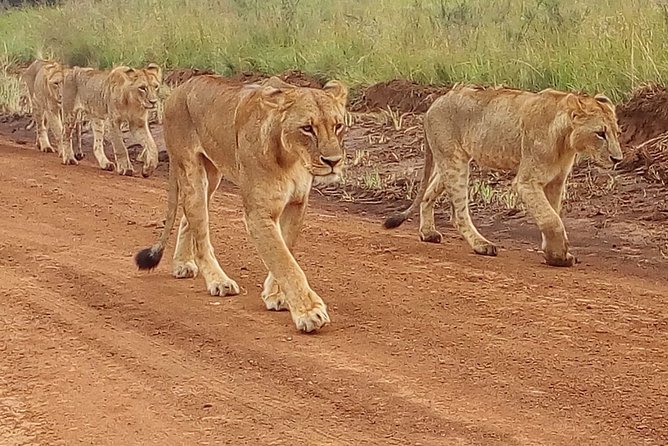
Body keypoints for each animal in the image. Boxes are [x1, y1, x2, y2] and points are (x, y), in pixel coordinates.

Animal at [133, 75, 348, 333]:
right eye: (307, 128)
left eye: (338, 126)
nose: (333, 161)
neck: (291, 158)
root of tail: (181, 87)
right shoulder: (258, 213)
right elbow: (284, 261)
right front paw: (309, 312)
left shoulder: (296, 204)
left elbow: (285, 249)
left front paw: (275, 295)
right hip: (192, 171)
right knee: (200, 234)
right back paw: (219, 281)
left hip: (211, 176)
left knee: (188, 218)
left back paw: (182, 264)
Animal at [383, 84, 623, 267]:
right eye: (600, 133)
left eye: (617, 133)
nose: (618, 159)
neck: (565, 141)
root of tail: (435, 102)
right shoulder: (527, 182)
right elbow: (551, 219)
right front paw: (559, 256)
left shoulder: (556, 181)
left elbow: (551, 214)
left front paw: (555, 254)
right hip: (454, 162)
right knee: (458, 213)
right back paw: (482, 245)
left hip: (451, 160)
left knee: (427, 194)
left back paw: (428, 233)